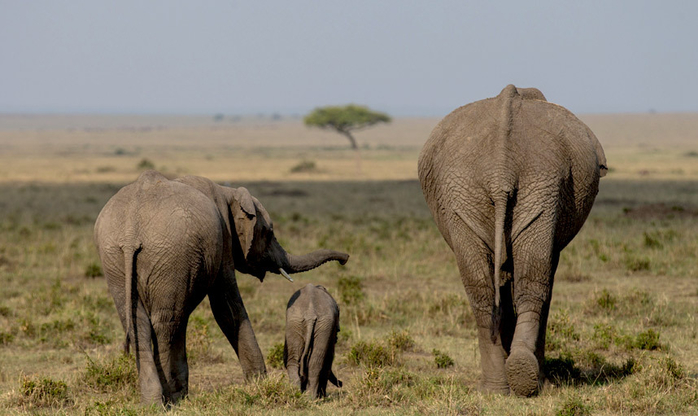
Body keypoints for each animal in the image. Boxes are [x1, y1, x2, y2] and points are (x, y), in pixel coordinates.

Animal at [94, 171, 348, 404]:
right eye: (269, 233)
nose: (345, 259)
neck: (228, 192)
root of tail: (131, 229)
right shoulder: (224, 237)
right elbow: (226, 307)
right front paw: (260, 384)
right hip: (167, 255)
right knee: (167, 322)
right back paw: (171, 399)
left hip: (115, 257)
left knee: (139, 323)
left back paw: (153, 403)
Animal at [416, 84, 608, 396]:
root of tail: (501, 168)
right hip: (531, 182)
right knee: (532, 281)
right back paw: (523, 378)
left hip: (486, 186)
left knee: (484, 290)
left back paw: (503, 384)